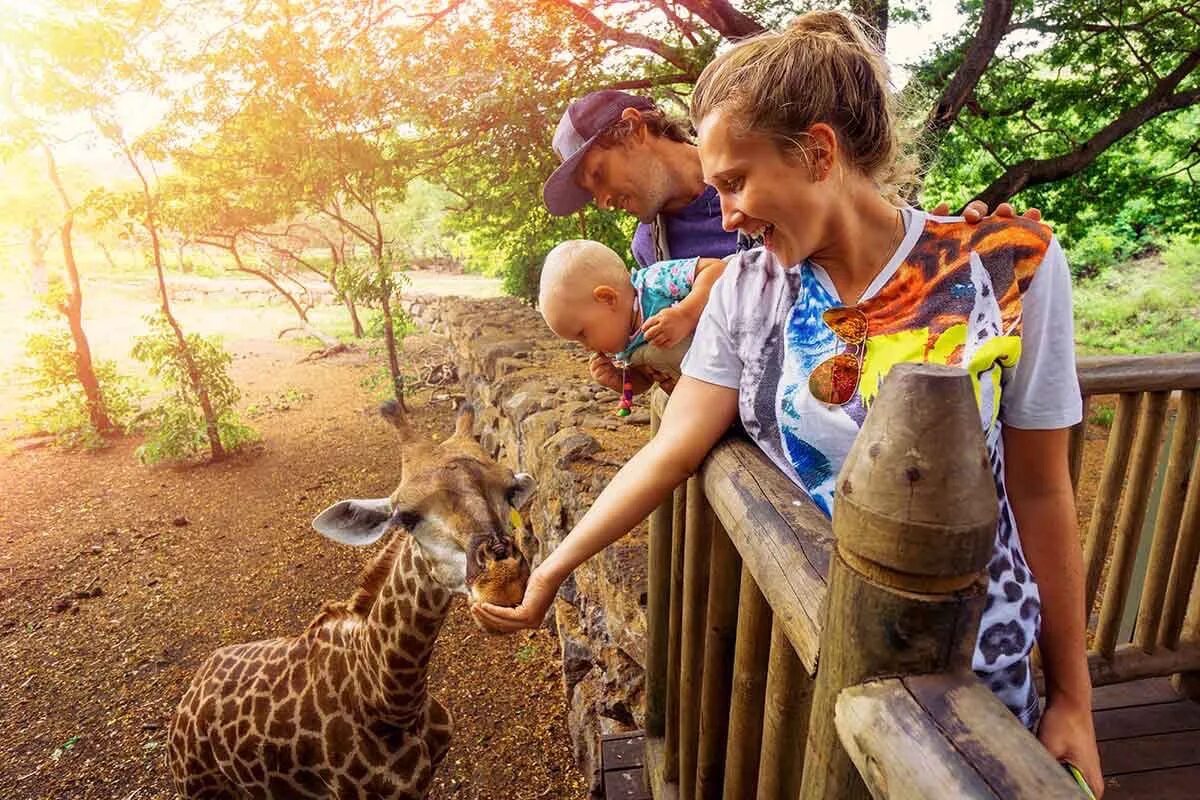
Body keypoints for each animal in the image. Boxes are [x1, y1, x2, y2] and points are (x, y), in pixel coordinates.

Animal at [165, 402, 535, 796]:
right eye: (407, 517)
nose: (503, 583)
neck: (391, 702)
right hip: (200, 788)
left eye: (509, 491)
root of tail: (187, 700)